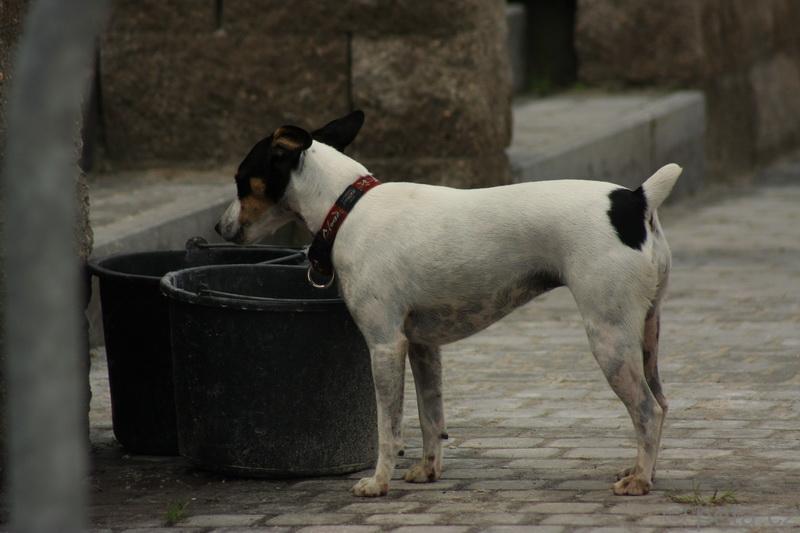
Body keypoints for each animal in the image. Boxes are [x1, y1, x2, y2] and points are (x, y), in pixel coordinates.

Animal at [215, 111, 680, 497]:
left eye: (241, 178)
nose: (219, 228)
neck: (347, 207)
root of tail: (636, 199)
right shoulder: (423, 346)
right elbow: (430, 417)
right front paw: (428, 470)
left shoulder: (385, 345)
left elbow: (388, 426)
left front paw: (378, 482)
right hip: (647, 336)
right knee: (660, 403)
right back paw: (645, 470)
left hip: (609, 339)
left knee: (646, 410)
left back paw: (640, 481)